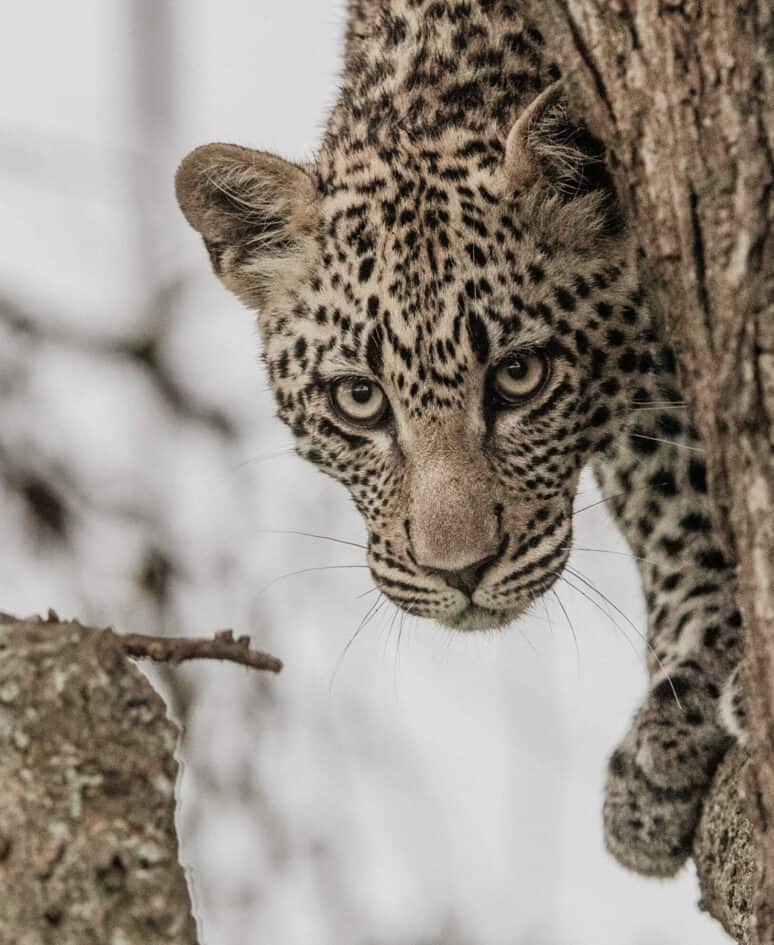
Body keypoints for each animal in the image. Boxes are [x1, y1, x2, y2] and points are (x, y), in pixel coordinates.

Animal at [174, 0, 744, 880]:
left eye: (519, 375)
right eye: (359, 399)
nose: (461, 572)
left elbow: (684, 485)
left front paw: (687, 708)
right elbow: (664, 493)